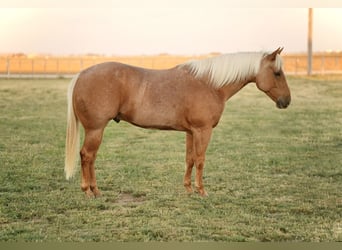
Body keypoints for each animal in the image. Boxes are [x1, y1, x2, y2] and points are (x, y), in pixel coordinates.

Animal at [63, 47, 288, 197]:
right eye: (277, 73)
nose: (286, 101)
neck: (210, 84)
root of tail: (81, 75)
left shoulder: (191, 132)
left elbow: (189, 159)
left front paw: (188, 188)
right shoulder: (203, 131)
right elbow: (200, 160)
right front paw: (201, 191)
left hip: (96, 131)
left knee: (91, 158)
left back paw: (96, 190)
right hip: (96, 129)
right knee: (87, 156)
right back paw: (88, 191)